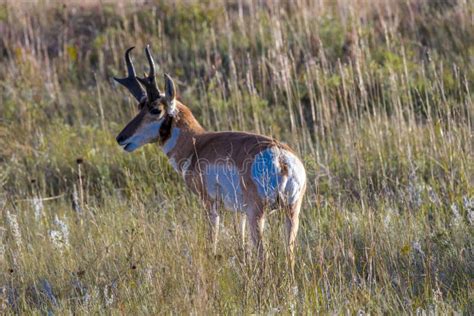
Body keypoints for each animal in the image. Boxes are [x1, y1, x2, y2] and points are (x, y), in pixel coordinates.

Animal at [115, 45, 308, 266]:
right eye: (139, 107)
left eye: (155, 109)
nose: (121, 138)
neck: (197, 143)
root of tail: (281, 159)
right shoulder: (239, 213)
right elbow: (243, 245)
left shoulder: (210, 205)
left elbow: (211, 241)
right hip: (291, 213)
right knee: (289, 254)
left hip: (258, 215)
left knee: (264, 255)